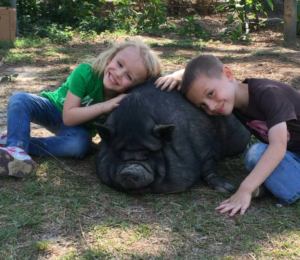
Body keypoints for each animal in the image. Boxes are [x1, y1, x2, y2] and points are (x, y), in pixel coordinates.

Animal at [95, 80, 250, 194]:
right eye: (119, 154)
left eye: (149, 154)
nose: (129, 171)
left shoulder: (205, 149)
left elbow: (209, 168)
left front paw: (227, 189)